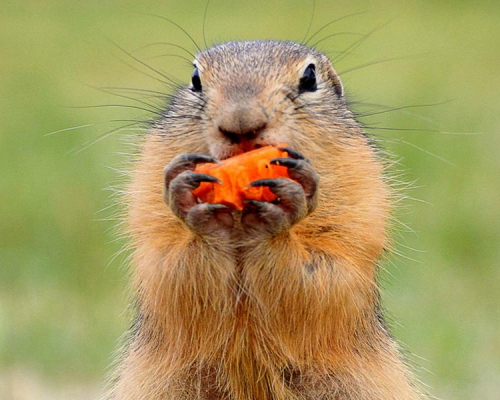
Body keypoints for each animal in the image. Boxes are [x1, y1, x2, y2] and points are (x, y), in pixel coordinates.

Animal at [108, 40, 426, 400]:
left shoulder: (359, 204)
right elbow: (168, 268)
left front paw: (279, 219)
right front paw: (192, 207)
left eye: (310, 77)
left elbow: (327, 273)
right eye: (195, 79)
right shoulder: (148, 207)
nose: (241, 123)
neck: (240, 220)